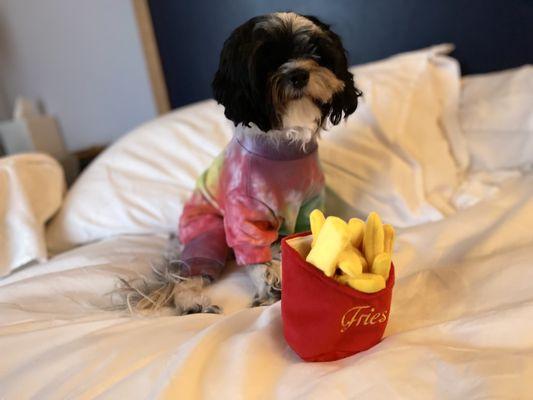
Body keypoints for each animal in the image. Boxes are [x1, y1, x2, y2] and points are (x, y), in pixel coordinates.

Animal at [122, 11, 360, 316]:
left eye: (316, 53)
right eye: (267, 60)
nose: (298, 73)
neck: (283, 148)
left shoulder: (309, 205)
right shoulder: (243, 216)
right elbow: (254, 258)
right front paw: (270, 284)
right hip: (208, 231)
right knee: (186, 276)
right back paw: (192, 302)